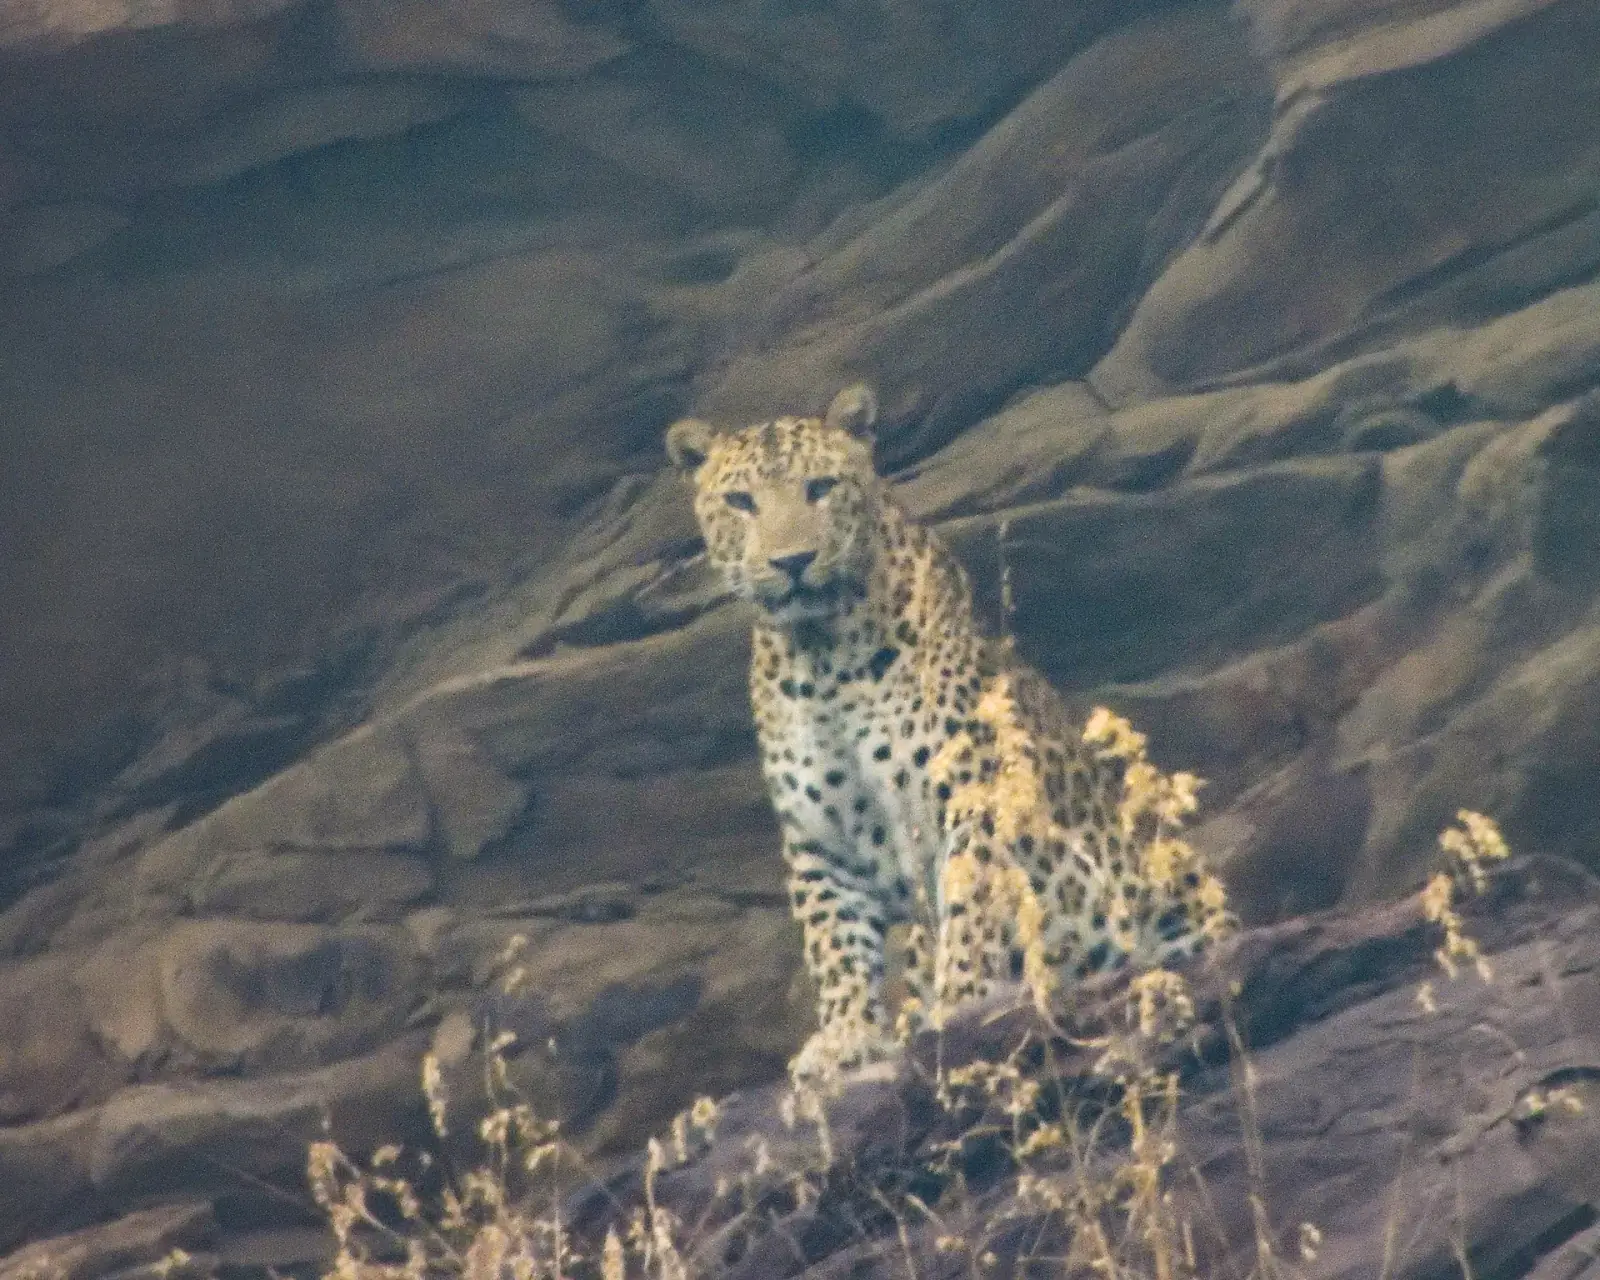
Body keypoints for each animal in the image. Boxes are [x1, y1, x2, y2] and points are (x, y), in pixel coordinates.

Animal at [666, 384, 1228, 1084]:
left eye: (820, 487)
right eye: (741, 502)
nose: (791, 562)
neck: (821, 656)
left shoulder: (971, 797)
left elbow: (970, 907)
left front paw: (959, 1005)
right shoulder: (819, 839)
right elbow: (834, 943)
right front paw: (846, 1036)